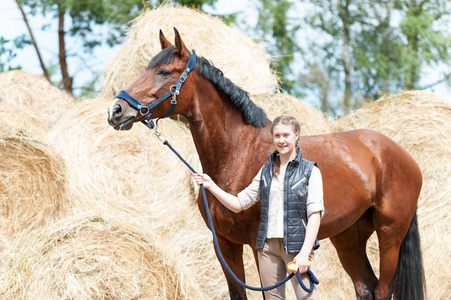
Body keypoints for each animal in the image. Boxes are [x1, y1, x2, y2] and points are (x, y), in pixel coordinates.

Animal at [107, 28, 426, 300]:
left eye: (163, 71)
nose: (116, 110)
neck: (238, 153)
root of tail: (400, 154)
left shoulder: (256, 245)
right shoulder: (224, 244)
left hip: (390, 235)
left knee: (383, 289)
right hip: (349, 237)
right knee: (366, 286)